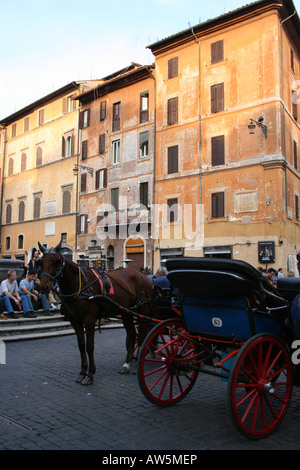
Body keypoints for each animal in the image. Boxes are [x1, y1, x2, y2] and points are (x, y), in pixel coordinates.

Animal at [38, 242, 152, 386]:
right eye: (41, 261)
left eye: (56, 261)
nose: (43, 286)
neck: (80, 285)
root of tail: (143, 275)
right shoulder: (75, 321)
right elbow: (81, 346)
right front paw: (82, 372)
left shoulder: (89, 320)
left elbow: (90, 346)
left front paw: (90, 374)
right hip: (126, 312)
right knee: (132, 334)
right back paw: (127, 363)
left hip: (142, 310)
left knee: (143, 335)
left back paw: (138, 365)